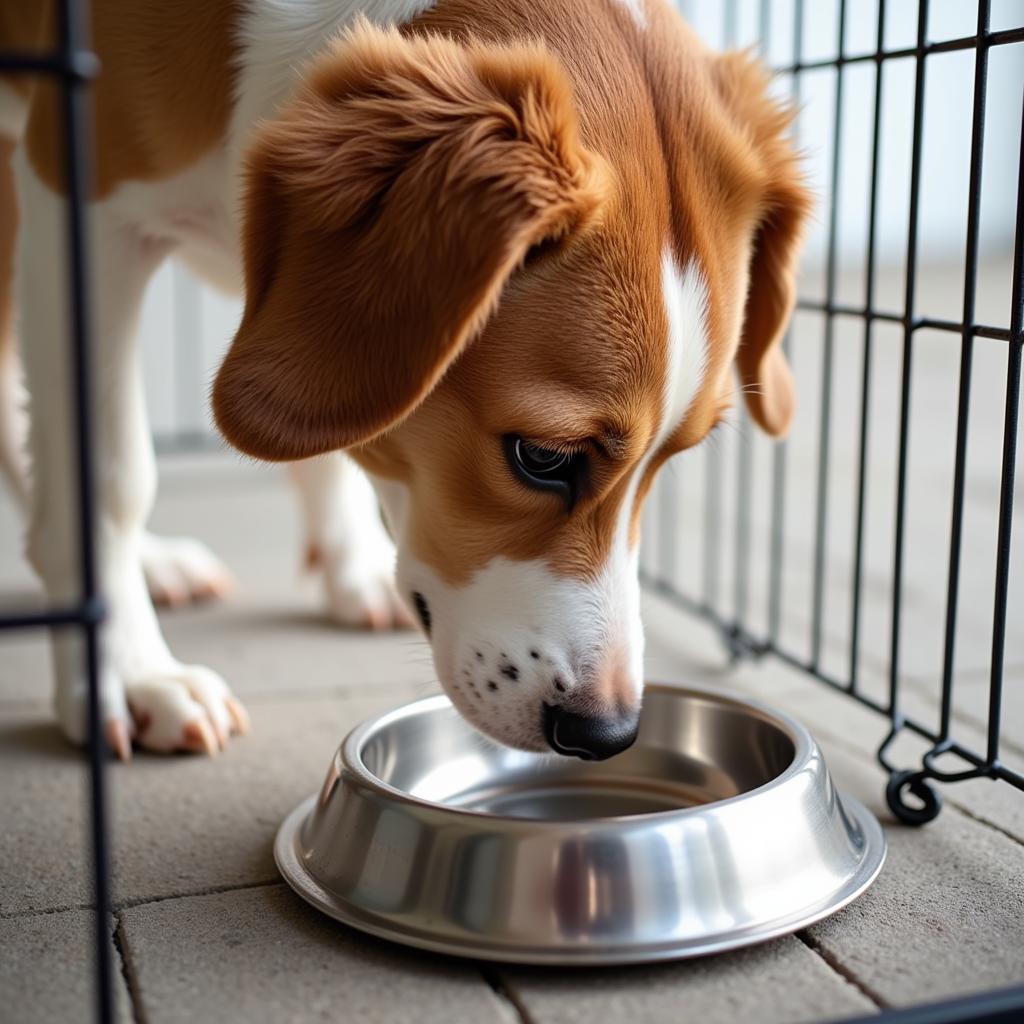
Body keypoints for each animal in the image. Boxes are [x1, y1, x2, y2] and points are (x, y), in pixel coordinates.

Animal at [0, 2, 806, 761]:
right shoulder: (79, 206)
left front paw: (349, 561)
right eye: (541, 457)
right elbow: (110, 478)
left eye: (673, 458)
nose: (607, 734)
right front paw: (134, 674)